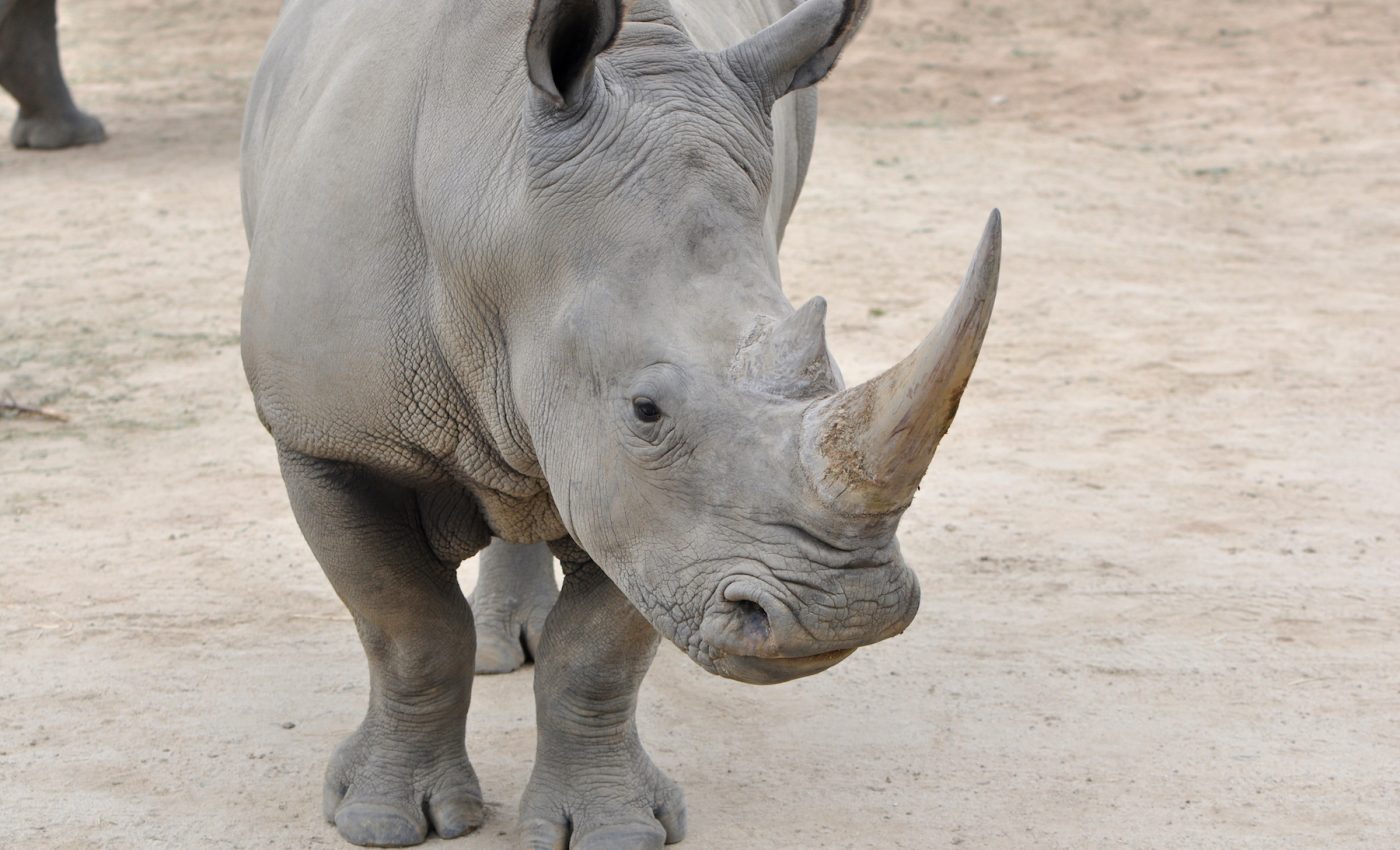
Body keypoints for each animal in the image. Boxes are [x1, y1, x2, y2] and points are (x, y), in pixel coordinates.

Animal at [240, 0, 1000, 846]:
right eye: (646, 409)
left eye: (830, 376)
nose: (843, 615)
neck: (493, 200)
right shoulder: (327, 439)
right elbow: (409, 628)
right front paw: (383, 821)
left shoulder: (655, 520)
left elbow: (597, 651)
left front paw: (616, 829)